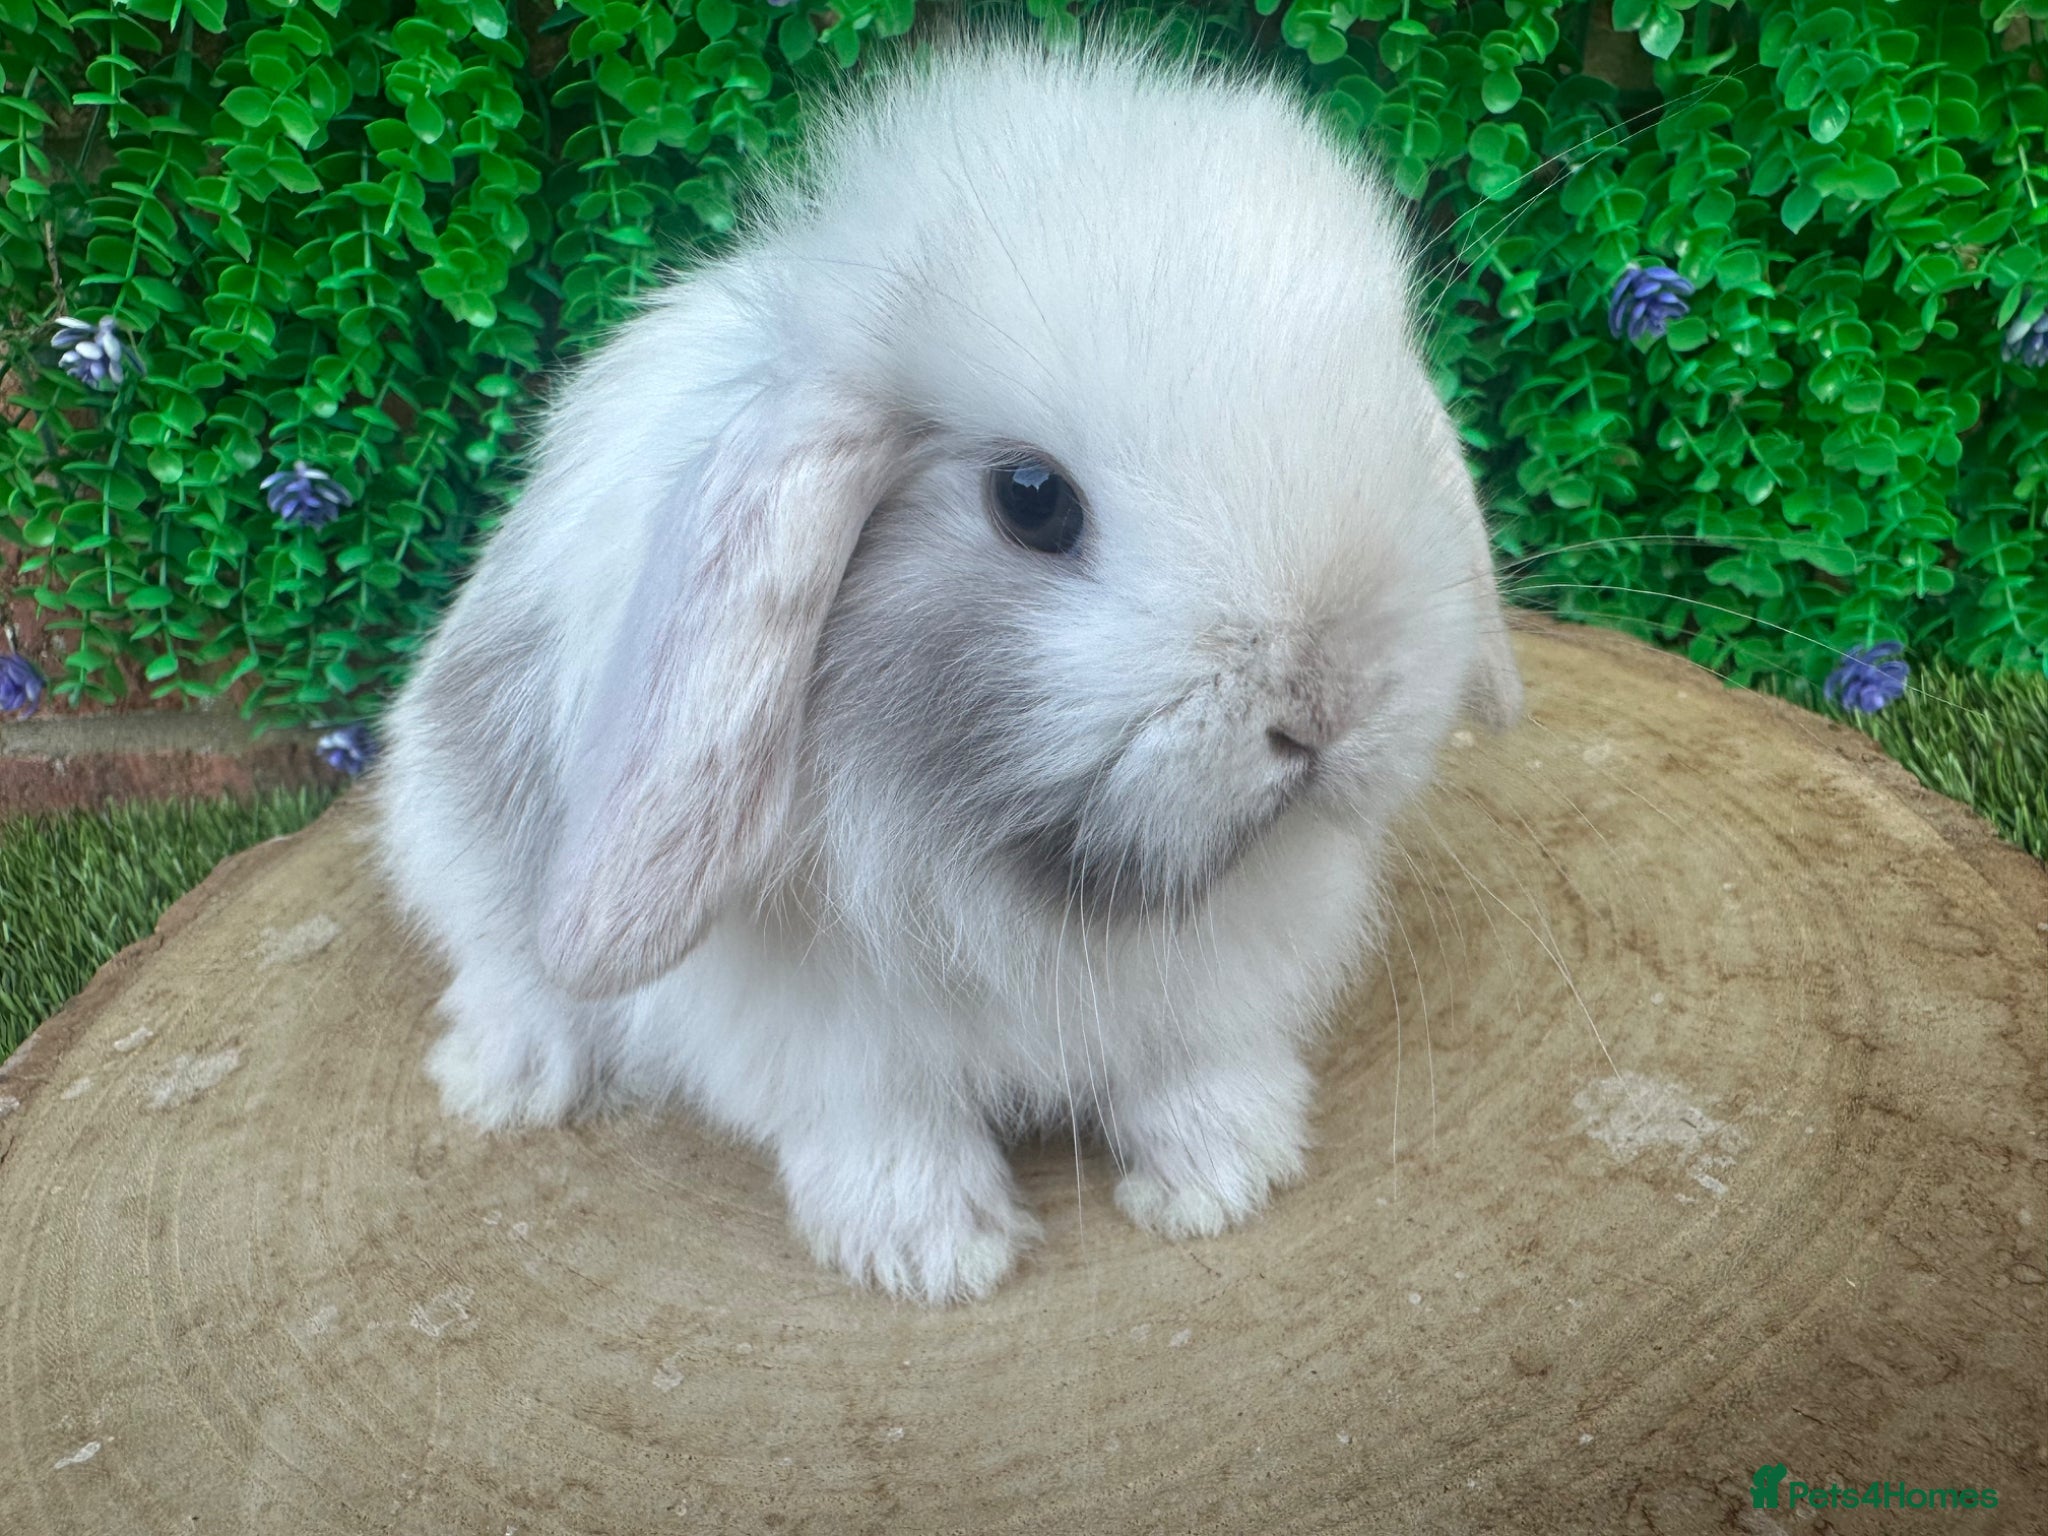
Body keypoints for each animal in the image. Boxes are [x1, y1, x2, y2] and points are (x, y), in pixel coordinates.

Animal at [371, 34, 1524, 1305]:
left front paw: (1220, 1181)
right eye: (1030, 500)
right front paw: (936, 1257)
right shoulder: (828, 1038)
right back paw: (510, 1078)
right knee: (501, 967)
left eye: (1386, 431)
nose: (1324, 706)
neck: (1044, 880)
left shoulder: (1211, 990)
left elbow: (1193, 1070)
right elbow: (884, 1130)